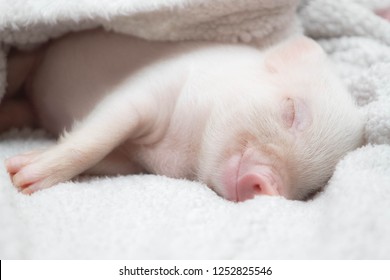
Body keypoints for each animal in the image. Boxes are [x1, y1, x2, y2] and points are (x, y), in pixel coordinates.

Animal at [1, 29, 364, 201]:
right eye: (292, 111)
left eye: (313, 187)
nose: (270, 184)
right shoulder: (146, 88)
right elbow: (99, 134)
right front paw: (21, 178)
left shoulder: (129, 162)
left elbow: (102, 154)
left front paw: (22, 163)